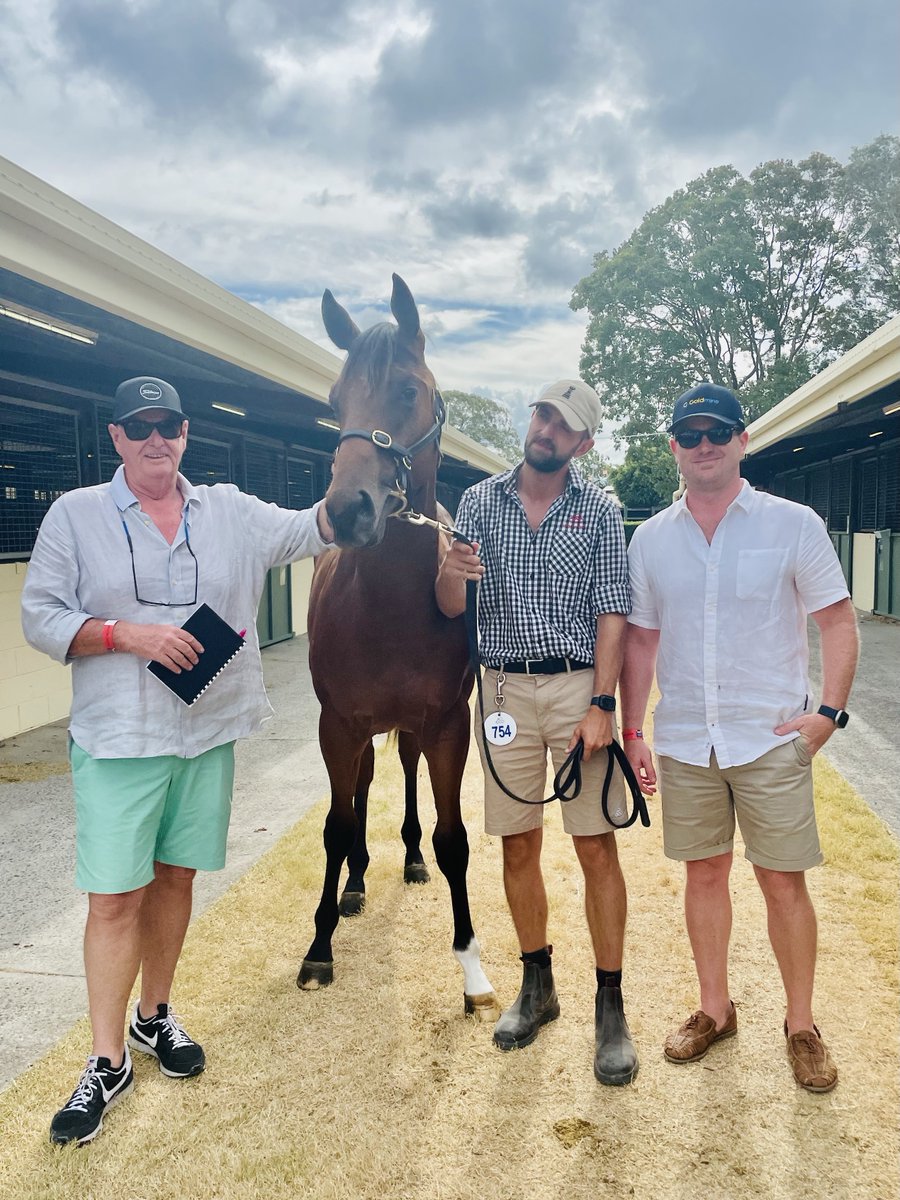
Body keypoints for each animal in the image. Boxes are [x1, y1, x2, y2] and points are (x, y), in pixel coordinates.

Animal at [301, 274, 501, 1022]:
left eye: (408, 392)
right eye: (334, 402)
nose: (346, 511)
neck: (385, 604)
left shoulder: (445, 725)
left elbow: (453, 839)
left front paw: (471, 968)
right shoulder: (337, 723)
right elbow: (335, 825)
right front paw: (320, 944)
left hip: (410, 729)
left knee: (407, 776)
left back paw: (407, 859)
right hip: (359, 729)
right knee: (359, 789)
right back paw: (356, 883)